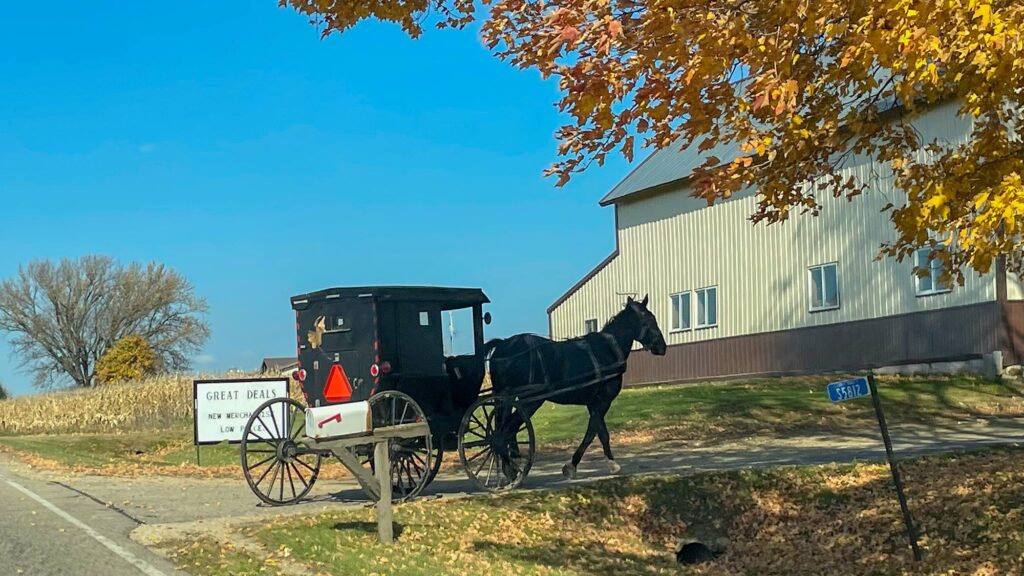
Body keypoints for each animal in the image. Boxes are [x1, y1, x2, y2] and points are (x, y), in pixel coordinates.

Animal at [485, 293, 667, 477]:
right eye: (648, 319)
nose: (662, 347)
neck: (607, 350)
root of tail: (504, 344)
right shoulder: (602, 401)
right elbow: (594, 432)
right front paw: (580, 465)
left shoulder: (593, 403)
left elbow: (599, 432)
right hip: (529, 400)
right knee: (508, 429)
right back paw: (512, 465)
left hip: (508, 397)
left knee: (506, 427)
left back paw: (511, 464)